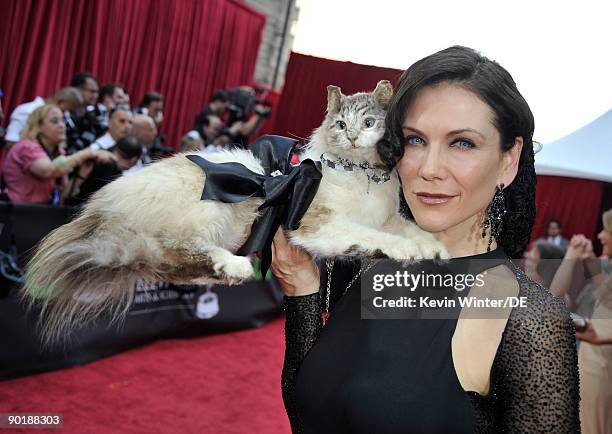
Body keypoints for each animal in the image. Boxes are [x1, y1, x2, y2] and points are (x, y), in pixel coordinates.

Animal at [23, 79, 448, 344]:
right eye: (342, 124)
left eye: (369, 122)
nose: (354, 136)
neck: (362, 174)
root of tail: (104, 205)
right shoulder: (319, 225)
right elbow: (373, 238)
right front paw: (407, 252)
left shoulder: (389, 216)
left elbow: (412, 230)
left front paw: (437, 249)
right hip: (205, 215)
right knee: (176, 252)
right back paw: (236, 266)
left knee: (166, 264)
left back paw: (232, 270)